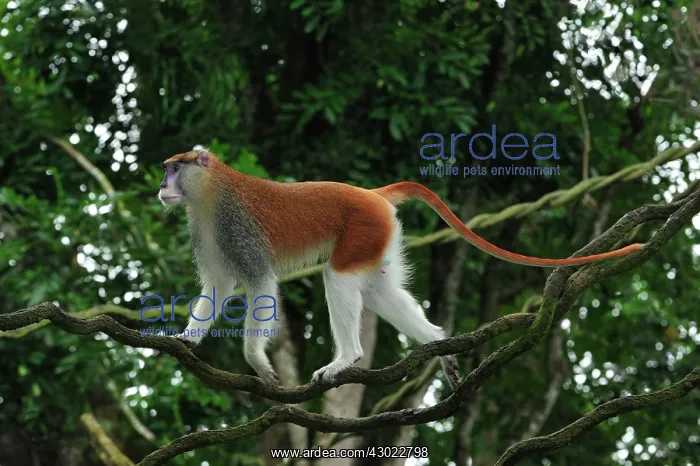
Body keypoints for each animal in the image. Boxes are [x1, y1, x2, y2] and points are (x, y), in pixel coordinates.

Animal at [158, 150, 644, 388]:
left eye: (174, 168)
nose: (162, 185)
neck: (212, 187)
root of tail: (371, 193)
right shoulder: (205, 226)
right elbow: (218, 285)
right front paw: (187, 339)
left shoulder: (231, 222)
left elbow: (260, 282)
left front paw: (257, 361)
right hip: (379, 232)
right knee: (378, 291)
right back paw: (437, 342)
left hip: (363, 226)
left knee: (338, 276)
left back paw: (347, 359)